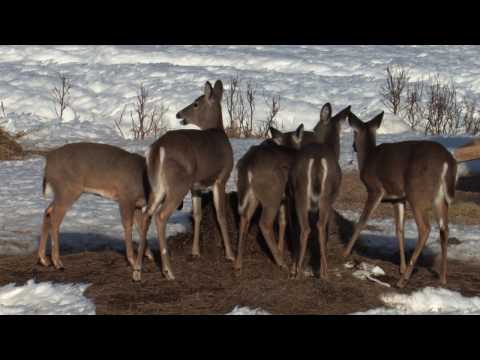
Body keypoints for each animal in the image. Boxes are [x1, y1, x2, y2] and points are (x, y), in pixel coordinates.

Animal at [133, 80, 234, 282]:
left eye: (195, 103)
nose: (179, 114)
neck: (218, 132)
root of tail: (158, 148)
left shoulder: (196, 186)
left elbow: (197, 215)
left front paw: (195, 252)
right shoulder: (221, 178)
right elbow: (220, 215)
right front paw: (230, 255)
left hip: (157, 186)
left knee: (146, 215)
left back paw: (137, 272)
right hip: (178, 183)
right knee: (160, 216)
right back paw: (168, 271)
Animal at [235, 124, 306, 270]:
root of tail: (248, 163)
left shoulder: (284, 199)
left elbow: (282, 222)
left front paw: (281, 248)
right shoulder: (290, 198)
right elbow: (291, 223)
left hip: (254, 194)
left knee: (244, 218)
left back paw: (238, 263)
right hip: (272, 193)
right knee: (264, 224)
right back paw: (281, 262)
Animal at [342, 111, 458, 288]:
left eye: (354, 133)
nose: (353, 146)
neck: (368, 157)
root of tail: (447, 161)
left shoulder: (375, 189)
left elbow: (362, 221)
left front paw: (345, 252)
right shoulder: (398, 198)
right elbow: (399, 229)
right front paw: (402, 267)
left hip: (416, 193)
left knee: (425, 228)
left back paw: (403, 280)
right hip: (439, 198)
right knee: (444, 228)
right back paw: (442, 278)